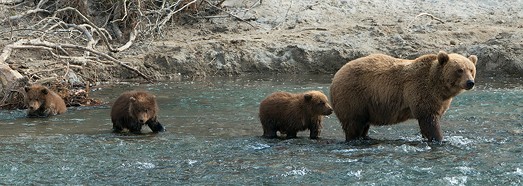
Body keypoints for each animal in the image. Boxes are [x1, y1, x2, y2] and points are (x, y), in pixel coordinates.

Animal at [332, 50, 478, 142]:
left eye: (471, 69)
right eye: (459, 70)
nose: (470, 82)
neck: (439, 86)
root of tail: (337, 75)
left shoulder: (439, 101)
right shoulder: (421, 92)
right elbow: (429, 121)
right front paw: (439, 139)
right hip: (354, 97)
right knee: (354, 124)